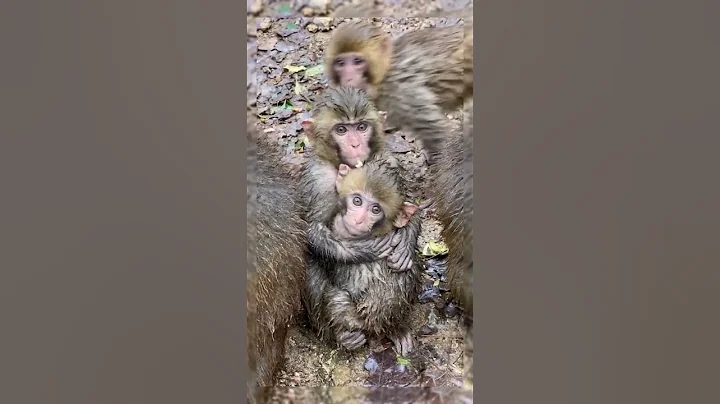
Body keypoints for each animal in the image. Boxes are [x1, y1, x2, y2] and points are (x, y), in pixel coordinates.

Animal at [299, 86, 422, 273]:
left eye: (361, 127)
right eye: (341, 130)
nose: (355, 144)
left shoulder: (389, 159)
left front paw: (406, 242)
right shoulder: (320, 180)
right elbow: (311, 229)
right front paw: (366, 249)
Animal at [325, 20, 473, 165]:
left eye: (357, 61)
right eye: (340, 63)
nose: (348, 78)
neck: (384, 74)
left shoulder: (403, 92)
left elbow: (440, 136)